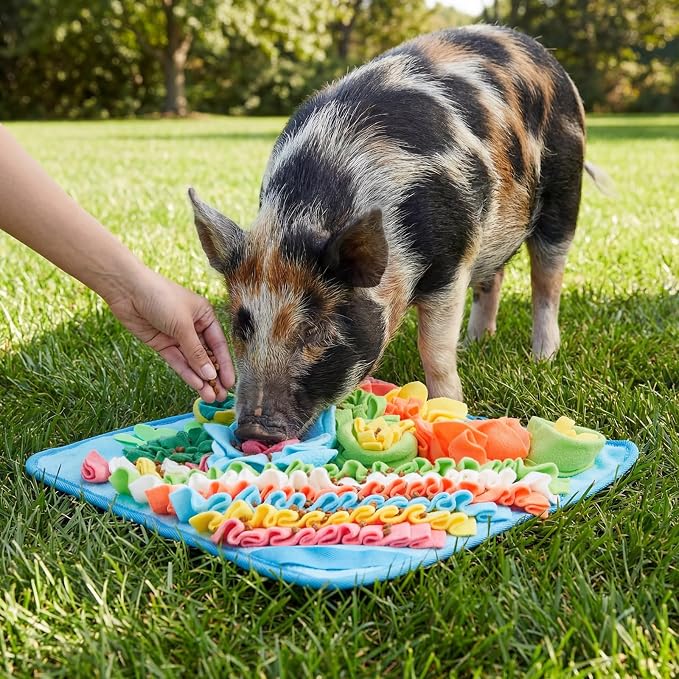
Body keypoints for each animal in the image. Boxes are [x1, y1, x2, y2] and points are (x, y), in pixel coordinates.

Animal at [190, 24, 597, 443]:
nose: (254, 430)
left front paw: (450, 407)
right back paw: (473, 345)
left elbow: (433, 349)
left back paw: (542, 356)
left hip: (566, 186)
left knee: (547, 279)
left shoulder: (450, 261)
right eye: (241, 326)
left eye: (314, 330)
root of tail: (539, 52)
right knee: (493, 278)